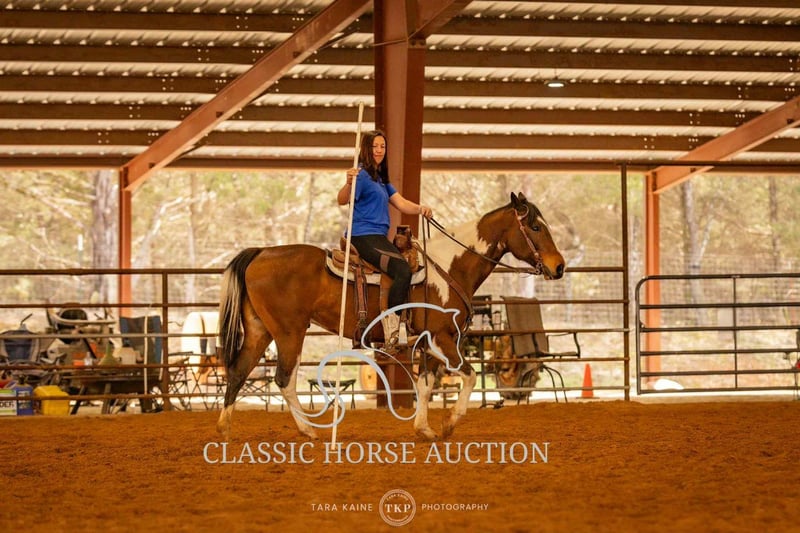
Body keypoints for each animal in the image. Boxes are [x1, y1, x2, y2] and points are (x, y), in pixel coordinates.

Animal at [216, 192, 565, 440]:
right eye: (535, 227)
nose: (559, 266)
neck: (449, 267)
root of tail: (261, 253)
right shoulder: (443, 338)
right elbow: (468, 375)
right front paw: (449, 423)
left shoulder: (429, 344)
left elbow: (425, 384)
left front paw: (424, 429)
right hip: (290, 332)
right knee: (284, 379)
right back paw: (308, 430)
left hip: (260, 330)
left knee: (238, 371)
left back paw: (224, 429)